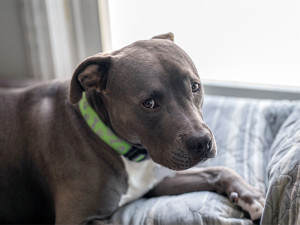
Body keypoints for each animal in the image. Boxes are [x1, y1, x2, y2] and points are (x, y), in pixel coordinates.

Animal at [0, 32, 264, 224]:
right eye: (149, 103)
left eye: (195, 87)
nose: (203, 142)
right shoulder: (75, 219)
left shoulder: (155, 183)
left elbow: (219, 170)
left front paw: (251, 195)